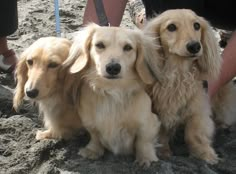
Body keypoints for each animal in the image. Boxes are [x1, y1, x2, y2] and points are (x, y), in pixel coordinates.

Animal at [63, 23, 160, 167]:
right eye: (99, 45)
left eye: (128, 47)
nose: (113, 68)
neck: (112, 91)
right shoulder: (90, 123)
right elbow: (95, 137)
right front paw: (92, 150)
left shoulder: (148, 123)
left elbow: (143, 142)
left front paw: (146, 158)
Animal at [143, 9, 222, 164]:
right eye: (171, 27)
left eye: (196, 25)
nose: (195, 46)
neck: (178, 74)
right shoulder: (157, 111)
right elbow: (161, 133)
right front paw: (164, 151)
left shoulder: (197, 108)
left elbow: (193, 133)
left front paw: (205, 154)